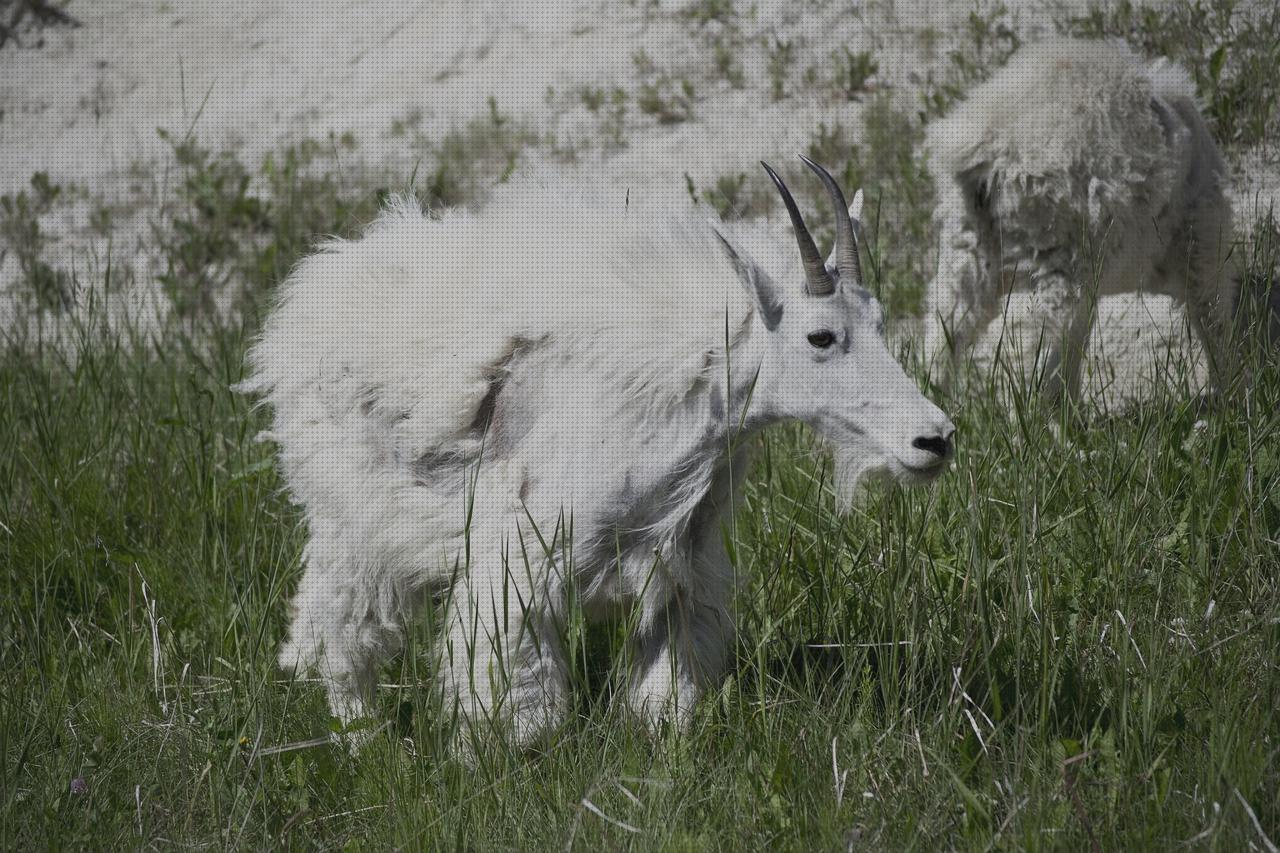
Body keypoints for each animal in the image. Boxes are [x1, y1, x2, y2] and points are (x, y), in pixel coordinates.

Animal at [240, 159, 957, 742]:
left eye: (880, 323)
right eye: (820, 336)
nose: (934, 439)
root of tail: (307, 299)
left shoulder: (682, 567)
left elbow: (669, 687)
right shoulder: (521, 556)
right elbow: (518, 695)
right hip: (354, 518)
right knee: (339, 628)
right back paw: (362, 738)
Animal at [921, 41, 1239, 407]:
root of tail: (987, 146)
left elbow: (1076, 344)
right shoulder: (1202, 236)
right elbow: (1213, 317)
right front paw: (1234, 396)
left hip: (966, 249)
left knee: (943, 332)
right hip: (1056, 257)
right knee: (1033, 345)